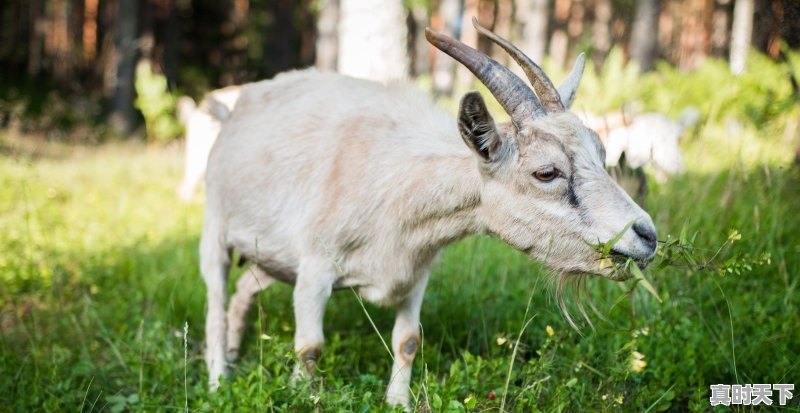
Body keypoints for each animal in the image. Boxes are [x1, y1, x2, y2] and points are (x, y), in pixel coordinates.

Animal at [198, 20, 656, 408]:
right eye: (546, 172)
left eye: (601, 153)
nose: (647, 235)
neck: (398, 182)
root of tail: (235, 110)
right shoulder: (315, 268)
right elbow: (310, 347)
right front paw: (302, 397)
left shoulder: (416, 271)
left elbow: (407, 341)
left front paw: (397, 403)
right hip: (215, 227)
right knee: (216, 301)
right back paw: (219, 380)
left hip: (270, 256)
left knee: (244, 290)